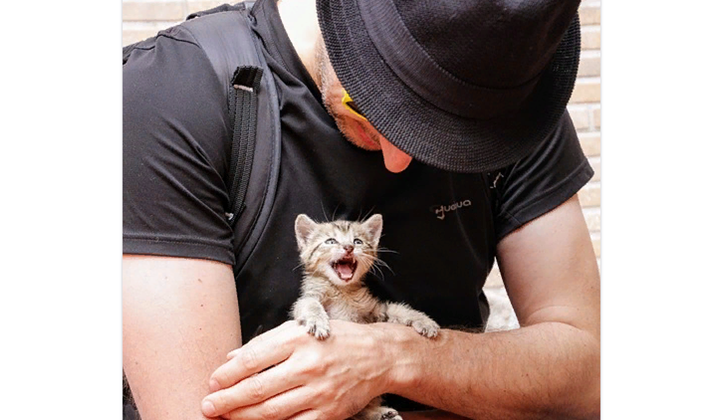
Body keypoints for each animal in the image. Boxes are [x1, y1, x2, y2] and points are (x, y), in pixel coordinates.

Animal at [292, 213, 439, 420]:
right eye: (330, 241)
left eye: (357, 241)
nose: (348, 247)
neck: (343, 291)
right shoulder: (309, 297)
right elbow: (308, 304)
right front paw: (317, 320)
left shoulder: (375, 311)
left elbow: (398, 310)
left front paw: (424, 321)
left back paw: (380, 413)